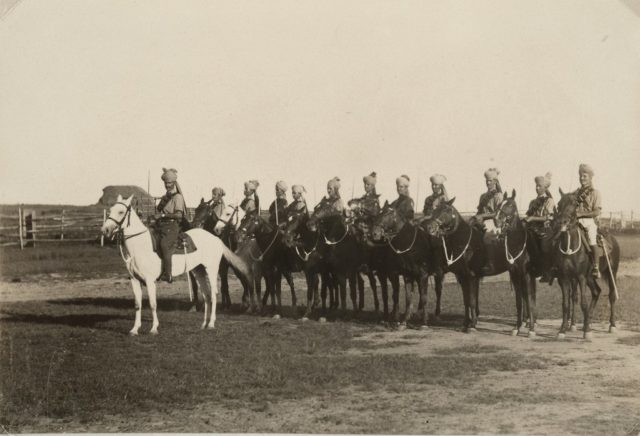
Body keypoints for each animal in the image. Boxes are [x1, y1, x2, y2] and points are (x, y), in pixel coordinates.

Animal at [101, 196, 251, 336]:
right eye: (111, 210)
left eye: (121, 212)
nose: (105, 230)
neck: (140, 246)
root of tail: (215, 238)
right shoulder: (134, 280)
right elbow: (137, 305)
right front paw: (134, 329)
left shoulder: (150, 281)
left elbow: (153, 304)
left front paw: (154, 328)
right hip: (199, 271)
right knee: (206, 295)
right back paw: (204, 323)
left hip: (212, 270)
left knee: (214, 294)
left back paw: (211, 323)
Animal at [552, 189, 616, 338]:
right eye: (559, 203)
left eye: (575, 204)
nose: (562, 222)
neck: (570, 246)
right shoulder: (565, 278)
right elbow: (566, 304)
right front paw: (562, 330)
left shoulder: (580, 277)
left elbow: (583, 303)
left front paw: (586, 332)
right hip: (590, 278)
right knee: (597, 292)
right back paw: (589, 321)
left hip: (611, 273)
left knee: (611, 295)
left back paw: (612, 325)